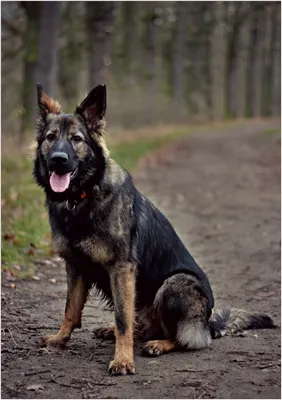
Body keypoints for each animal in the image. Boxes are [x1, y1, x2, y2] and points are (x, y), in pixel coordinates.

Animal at [32, 83, 276, 376]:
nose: (58, 159)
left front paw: (123, 360)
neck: (83, 197)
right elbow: (71, 309)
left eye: (76, 139)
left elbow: (123, 318)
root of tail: (209, 324)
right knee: (142, 327)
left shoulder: (121, 269)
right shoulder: (76, 266)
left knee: (185, 339)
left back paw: (159, 343)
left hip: (175, 284)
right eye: (51, 138)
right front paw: (60, 339)